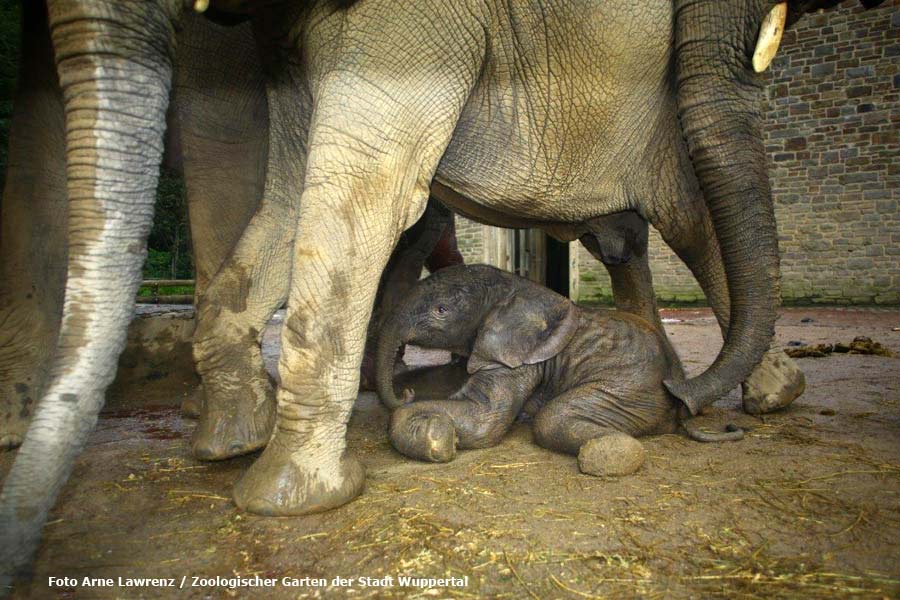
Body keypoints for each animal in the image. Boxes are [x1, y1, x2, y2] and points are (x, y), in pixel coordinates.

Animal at [374, 264, 740, 476]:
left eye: (441, 310)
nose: (405, 392)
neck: (513, 284)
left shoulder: (519, 356)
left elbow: (484, 421)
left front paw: (436, 437)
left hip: (630, 388)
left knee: (554, 418)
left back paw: (608, 452)